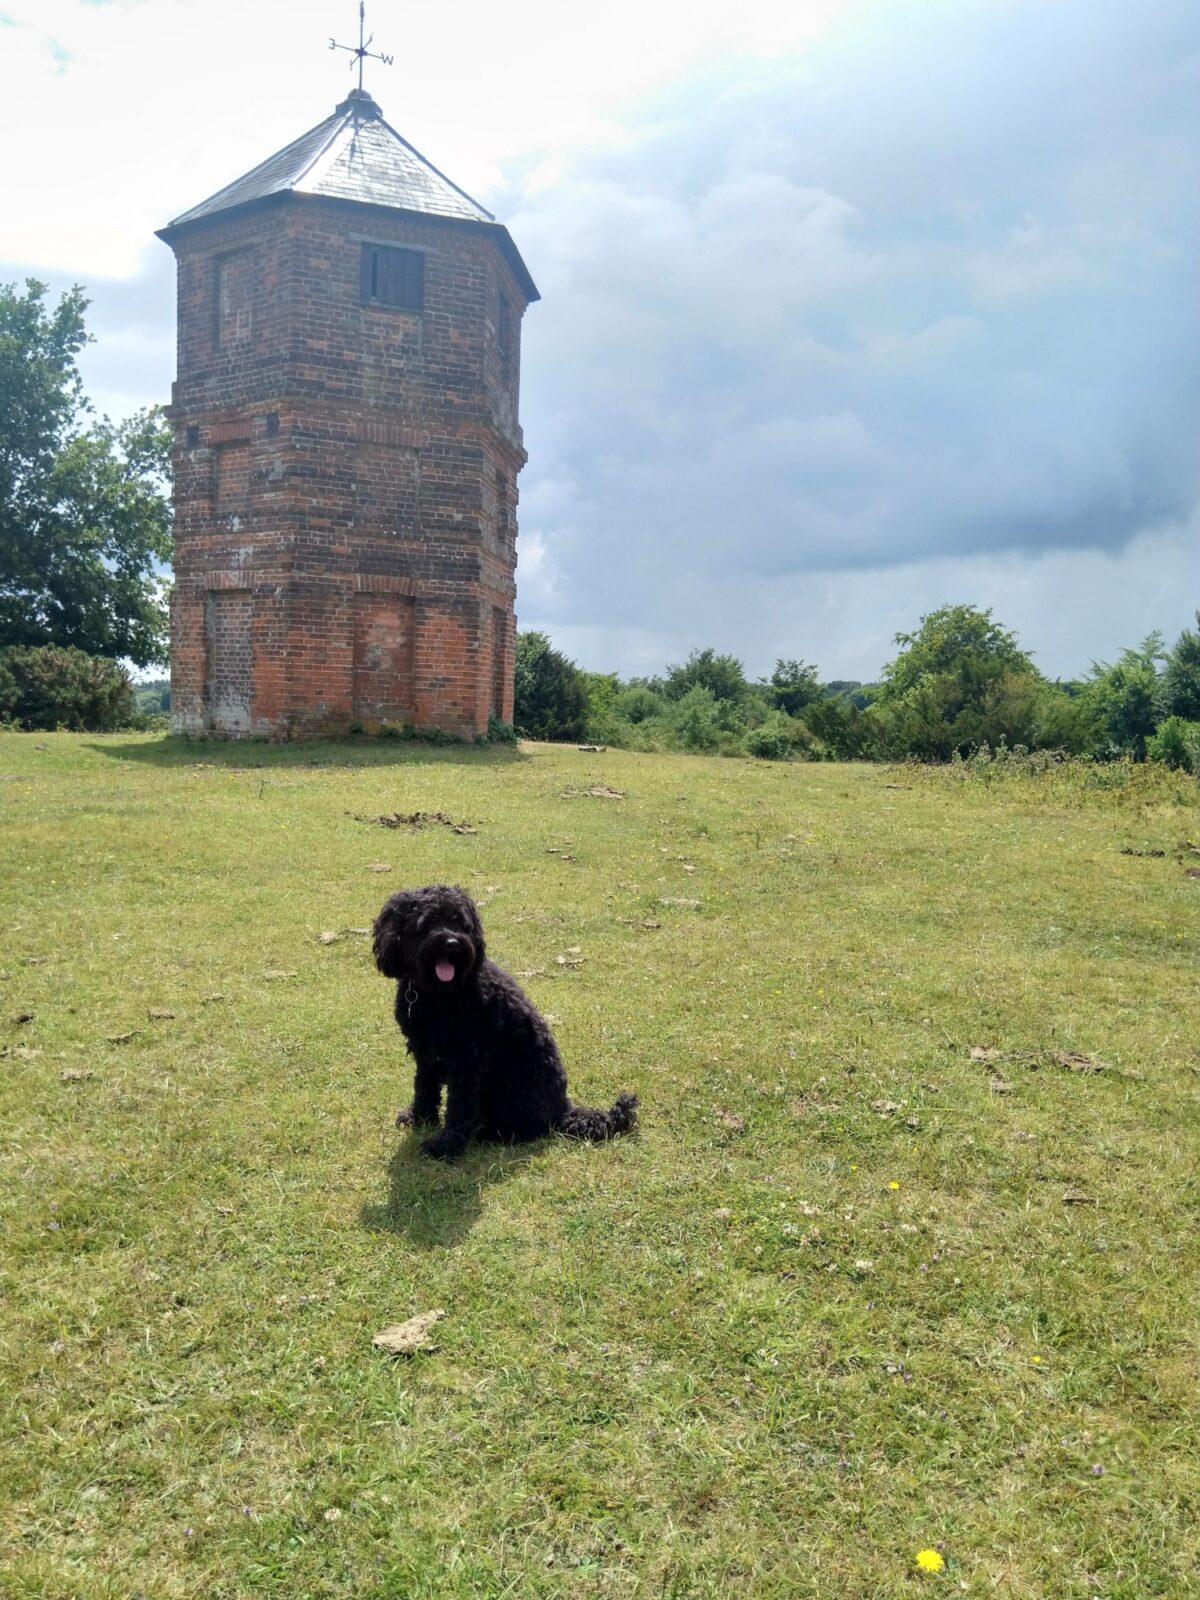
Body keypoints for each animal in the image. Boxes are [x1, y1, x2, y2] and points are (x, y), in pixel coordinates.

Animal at [374, 883, 640, 1158]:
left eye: (460, 923)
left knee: (528, 1128)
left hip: (507, 1089)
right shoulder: (424, 1052)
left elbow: (460, 1107)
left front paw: (446, 1145)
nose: (453, 944)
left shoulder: (468, 1060)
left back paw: (489, 1133)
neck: (440, 994)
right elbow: (424, 1087)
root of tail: (563, 1110)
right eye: (427, 923)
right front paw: (420, 1118)